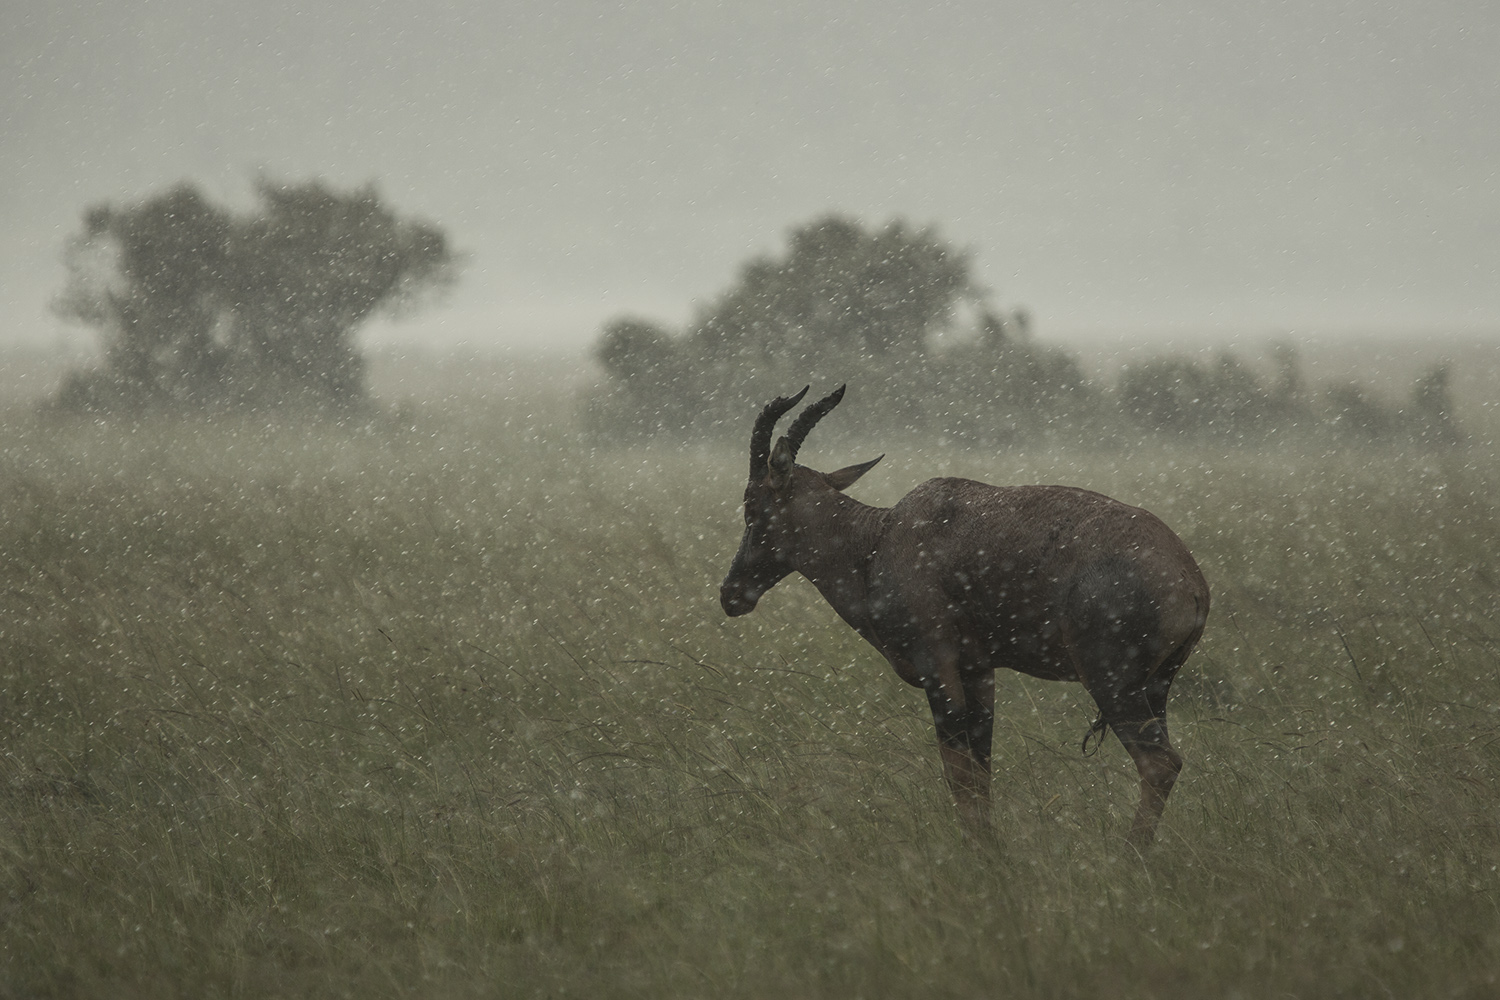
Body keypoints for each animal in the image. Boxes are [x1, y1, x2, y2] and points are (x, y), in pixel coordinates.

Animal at [720, 383, 1212, 845]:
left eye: (752, 503)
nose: (730, 594)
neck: (880, 538)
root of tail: (1191, 580)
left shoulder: (937, 666)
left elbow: (957, 772)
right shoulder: (979, 672)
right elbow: (981, 770)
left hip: (1112, 681)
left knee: (1160, 763)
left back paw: (1129, 856)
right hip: (1157, 685)